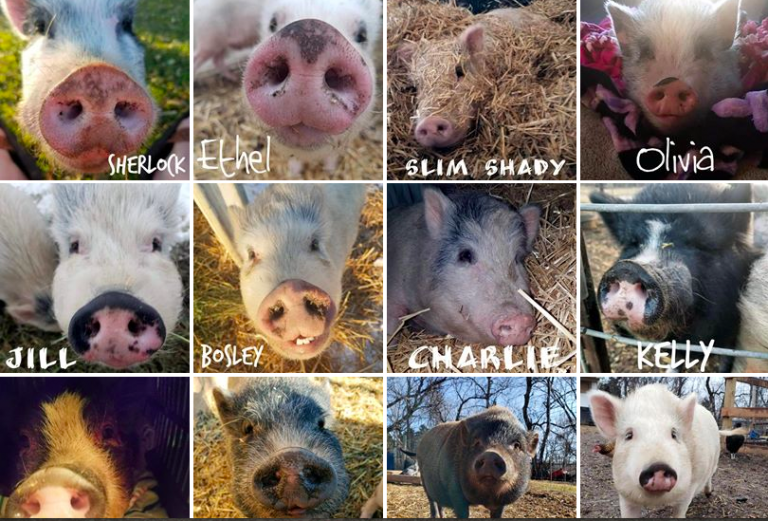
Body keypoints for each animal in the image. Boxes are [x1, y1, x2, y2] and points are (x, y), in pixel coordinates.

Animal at [243, 0, 382, 175]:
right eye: (272, 23)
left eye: (362, 35)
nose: (310, 36)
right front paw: (293, 174)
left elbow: (333, 155)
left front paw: (330, 172)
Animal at [589, 384, 722, 518]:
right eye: (628, 435)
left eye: (674, 434)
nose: (659, 466)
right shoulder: (624, 493)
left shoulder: (691, 485)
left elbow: (679, 511)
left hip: (716, 457)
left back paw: (709, 493)